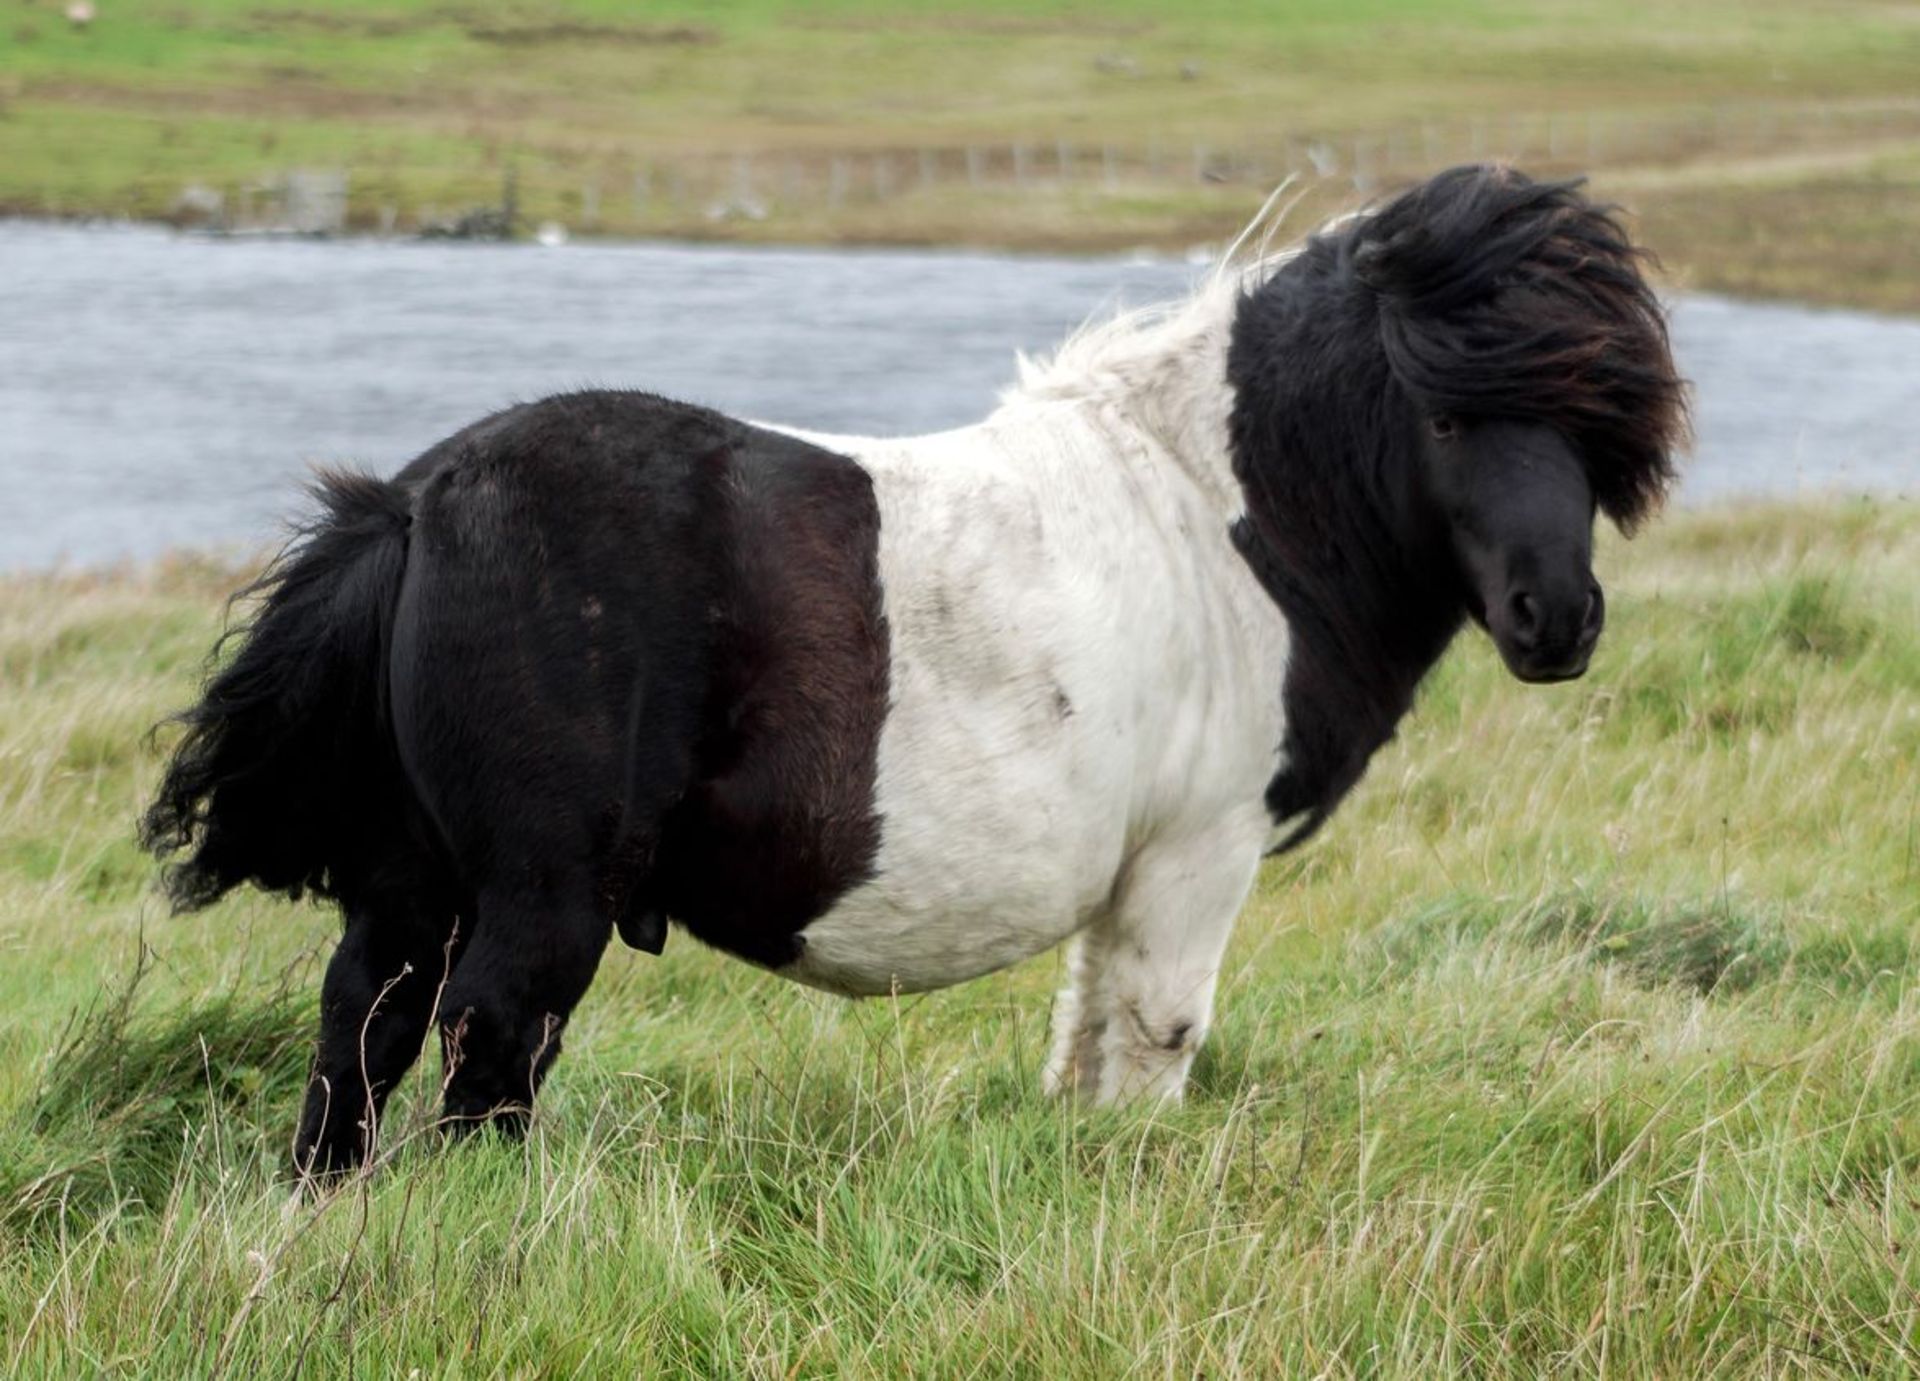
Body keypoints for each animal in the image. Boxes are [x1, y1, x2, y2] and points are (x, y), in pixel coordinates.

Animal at [145, 167, 1681, 1175]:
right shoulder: (1200, 851)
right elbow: (1162, 1031)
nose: (1556, 619)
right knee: (490, 1043)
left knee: (365, 1027)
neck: (1220, 514)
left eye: (1600, 419)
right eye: (1443, 407)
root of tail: (419, 501)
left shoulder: (1131, 873)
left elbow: (1092, 1034)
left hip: (412, 882)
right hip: (539, 895)